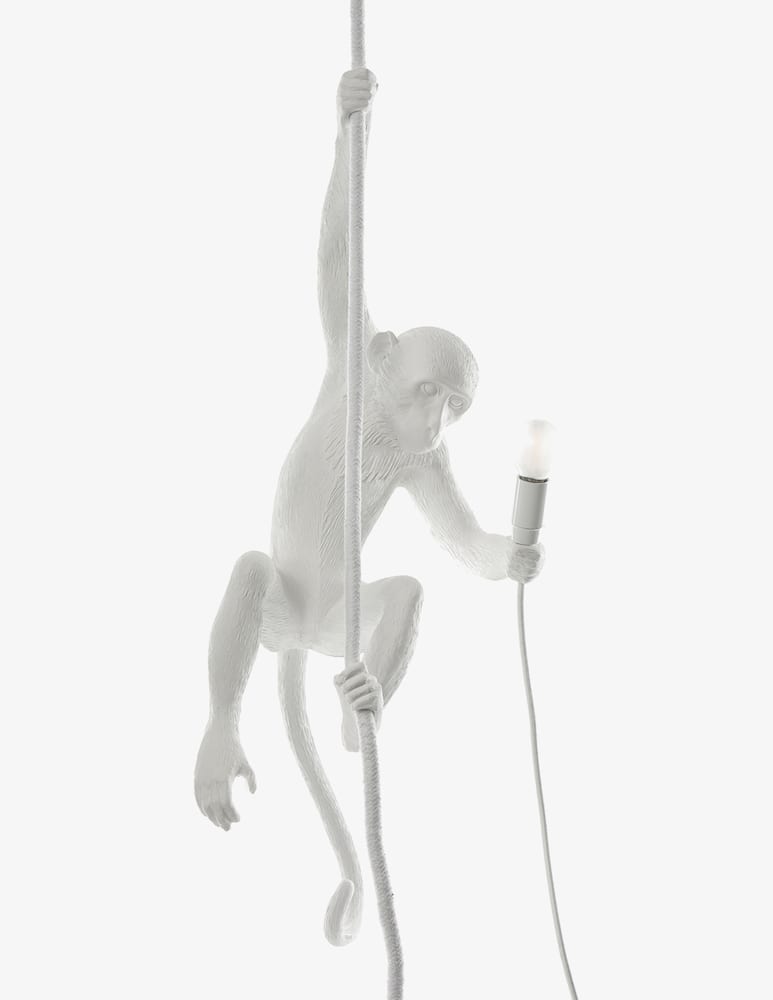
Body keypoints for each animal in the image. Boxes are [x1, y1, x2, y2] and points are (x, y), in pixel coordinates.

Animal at [194, 68, 545, 945]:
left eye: (457, 404)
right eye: (426, 390)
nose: (438, 418)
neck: (381, 423)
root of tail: (302, 643)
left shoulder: (427, 461)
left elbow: (455, 533)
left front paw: (515, 555)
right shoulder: (352, 349)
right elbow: (334, 249)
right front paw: (352, 108)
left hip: (327, 629)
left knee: (408, 593)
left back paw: (361, 714)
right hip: (283, 616)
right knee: (253, 572)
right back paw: (223, 745)